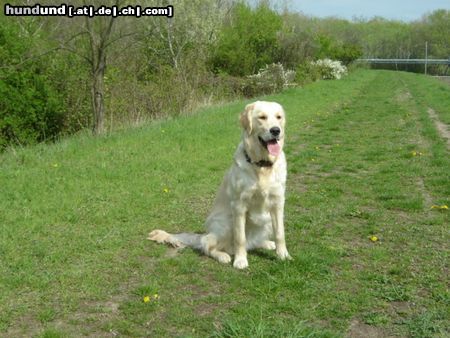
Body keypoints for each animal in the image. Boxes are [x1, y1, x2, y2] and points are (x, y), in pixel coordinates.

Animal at [149, 101, 292, 270]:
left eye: (279, 117)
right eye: (262, 117)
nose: (276, 130)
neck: (262, 165)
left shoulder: (278, 202)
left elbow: (280, 233)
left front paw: (283, 255)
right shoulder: (238, 205)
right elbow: (240, 238)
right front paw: (240, 260)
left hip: (266, 220)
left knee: (251, 243)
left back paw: (266, 243)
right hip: (225, 222)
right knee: (208, 246)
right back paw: (223, 256)